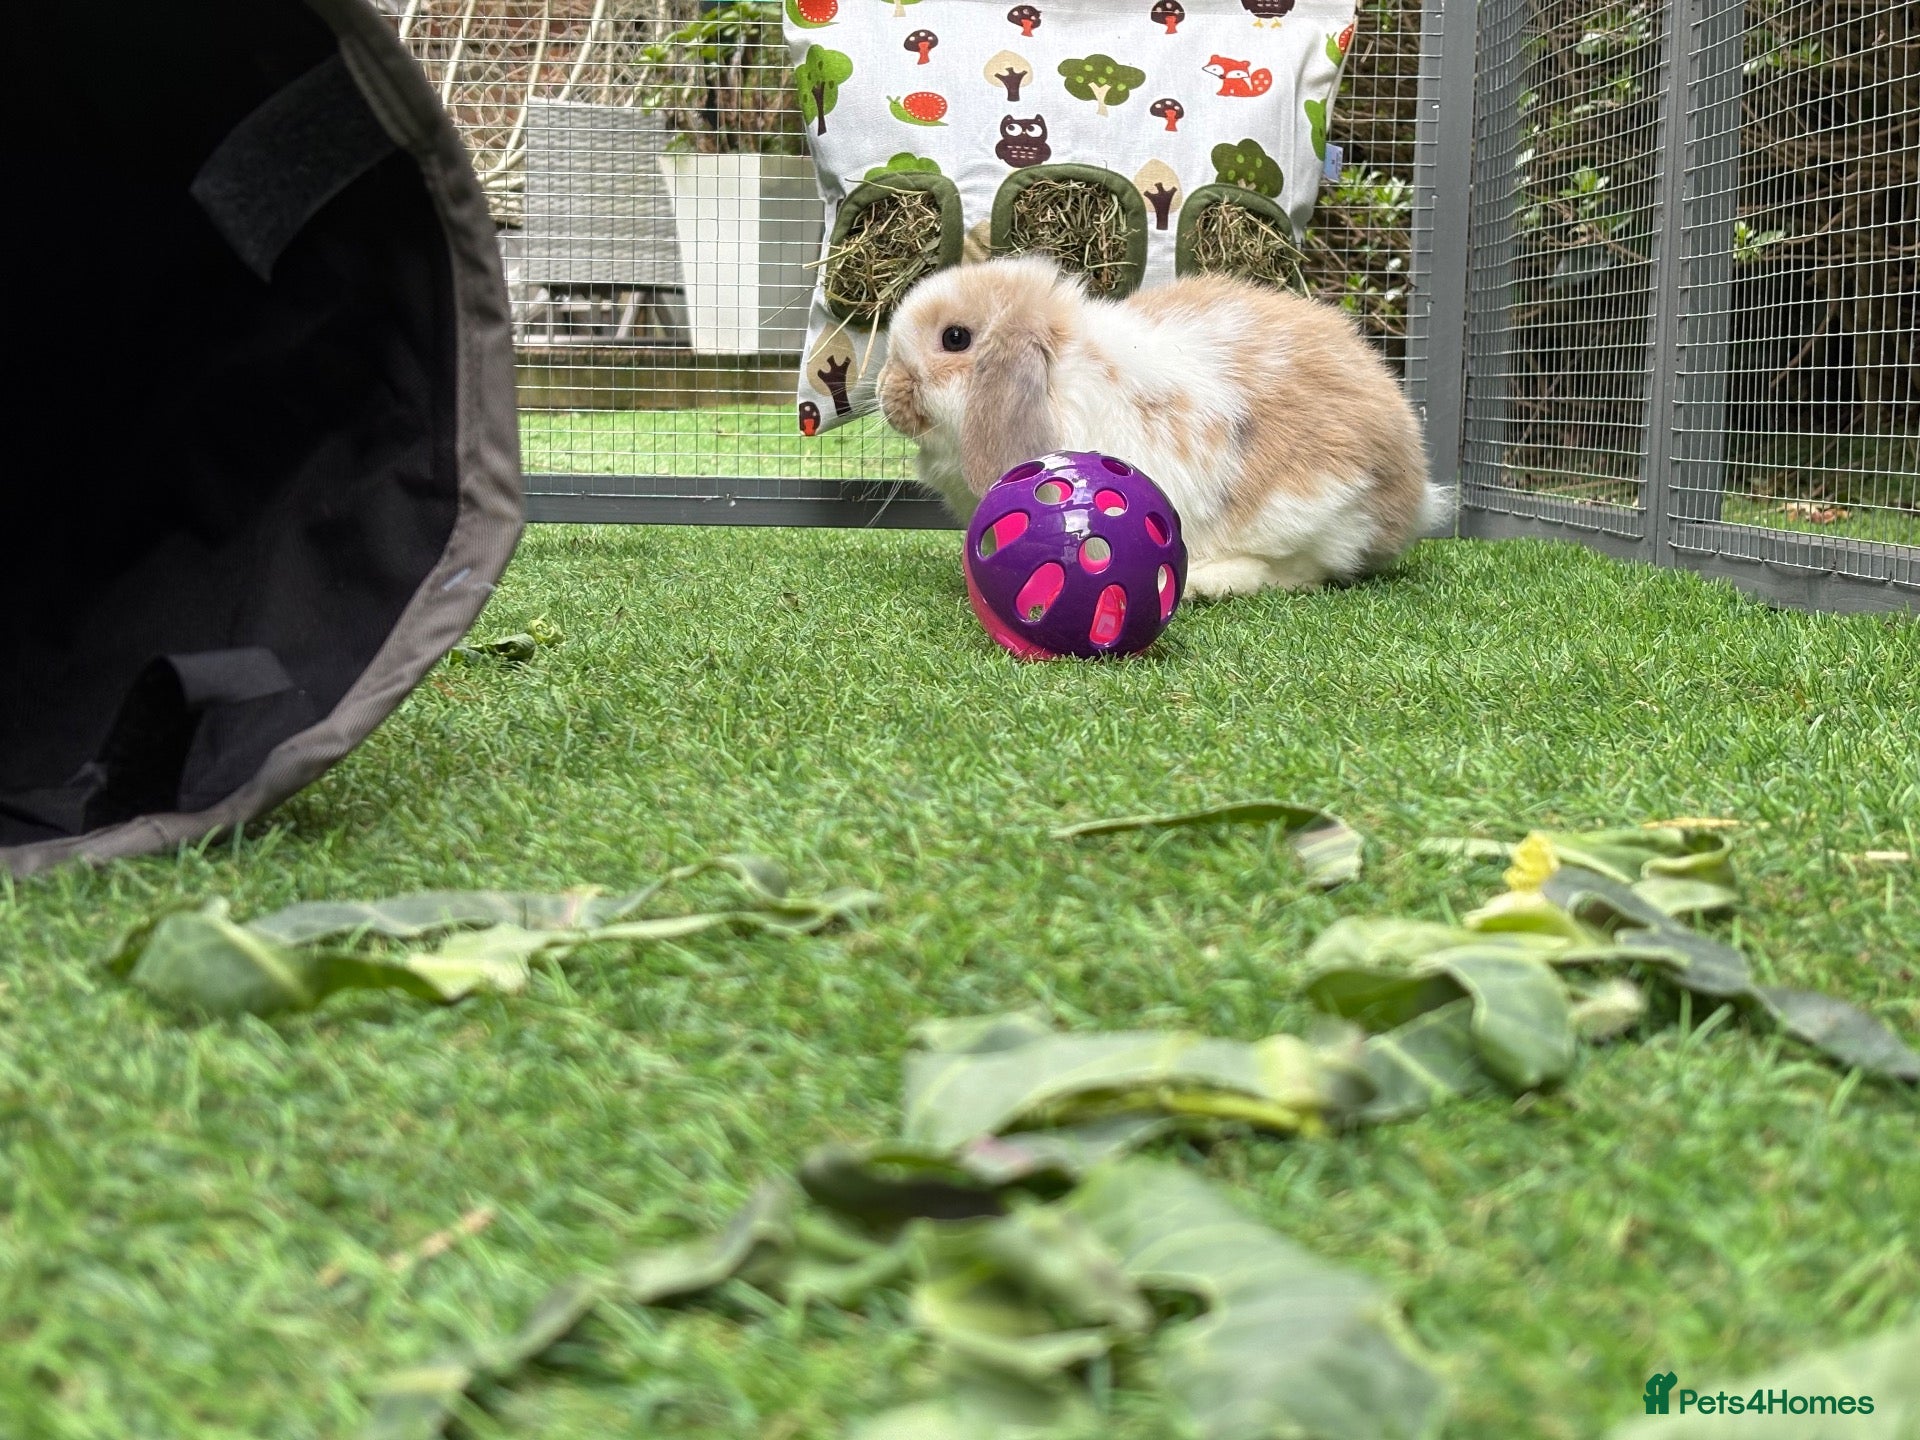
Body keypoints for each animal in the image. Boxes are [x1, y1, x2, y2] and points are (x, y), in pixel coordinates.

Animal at [875, 255, 1452, 596]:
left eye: (955, 338)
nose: (886, 388)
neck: (1060, 375)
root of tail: (1413, 492)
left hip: (1308, 506)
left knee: (1300, 570)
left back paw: (1208, 581)